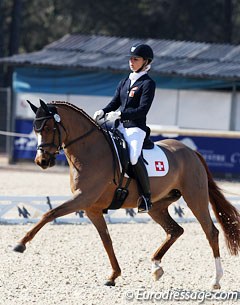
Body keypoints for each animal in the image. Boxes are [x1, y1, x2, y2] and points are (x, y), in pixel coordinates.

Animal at [13, 100, 240, 288]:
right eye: (35, 129)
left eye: (48, 128)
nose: (42, 161)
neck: (90, 151)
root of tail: (191, 152)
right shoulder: (91, 208)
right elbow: (106, 240)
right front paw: (113, 276)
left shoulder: (82, 199)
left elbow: (49, 214)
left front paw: (20, 244)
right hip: (157, 206)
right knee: (175, 230)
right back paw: (156, 267)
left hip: (195, 198)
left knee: (211, 232)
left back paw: (216, 280)